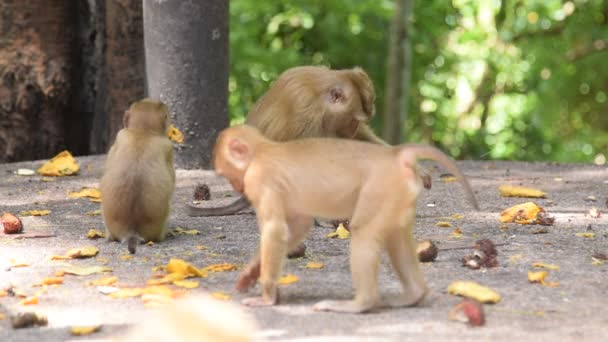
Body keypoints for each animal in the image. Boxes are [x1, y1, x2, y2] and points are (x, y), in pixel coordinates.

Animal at [211, 125, 478, 312]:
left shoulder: (259, 179)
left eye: (226, 173)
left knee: (364, 232)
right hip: (398, 195)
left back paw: (361, 303)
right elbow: (298, 225)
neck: (262, 150)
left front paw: (266, 297)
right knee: (395, 235)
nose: (236, 186)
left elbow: (276, 230)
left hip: (381, 188)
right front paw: (250, 273)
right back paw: (414, 294)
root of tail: (395, 155)